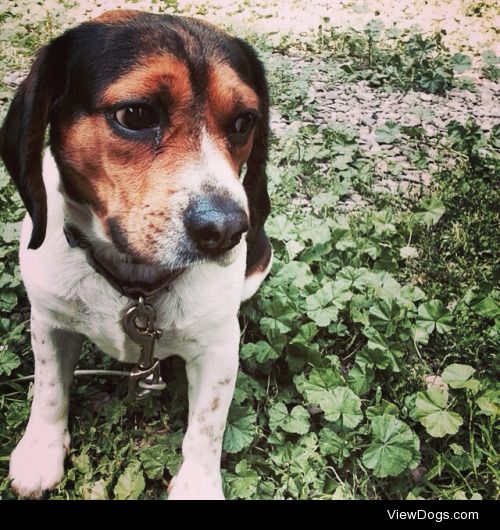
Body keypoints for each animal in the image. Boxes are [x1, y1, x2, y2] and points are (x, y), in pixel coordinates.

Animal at [0, 12, 272, 500]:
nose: (226, 231)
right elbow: (49, 388)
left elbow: (206, 428)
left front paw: (197, 486)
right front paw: (41, 451)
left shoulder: (219, 350)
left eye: (244, 122)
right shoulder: (49, 323)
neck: (135, 282)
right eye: (136, 114)